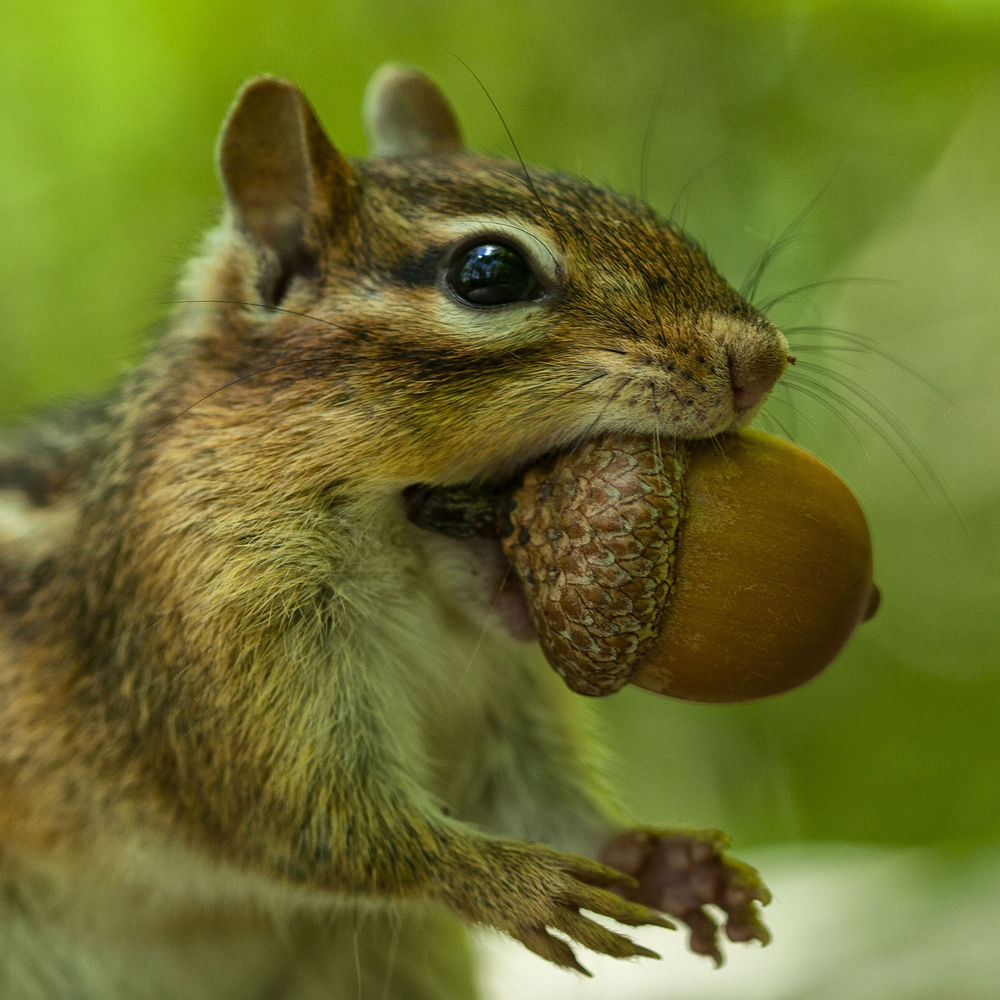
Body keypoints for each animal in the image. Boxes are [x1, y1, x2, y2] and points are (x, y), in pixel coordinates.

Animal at [0, 65, 788, 1000]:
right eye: (489, 270)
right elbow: (306, 820)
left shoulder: (501, 700)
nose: (762, 361)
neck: (416, 580)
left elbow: (534, 799)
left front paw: (665, 863)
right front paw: (506, 880)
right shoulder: (205, 642)